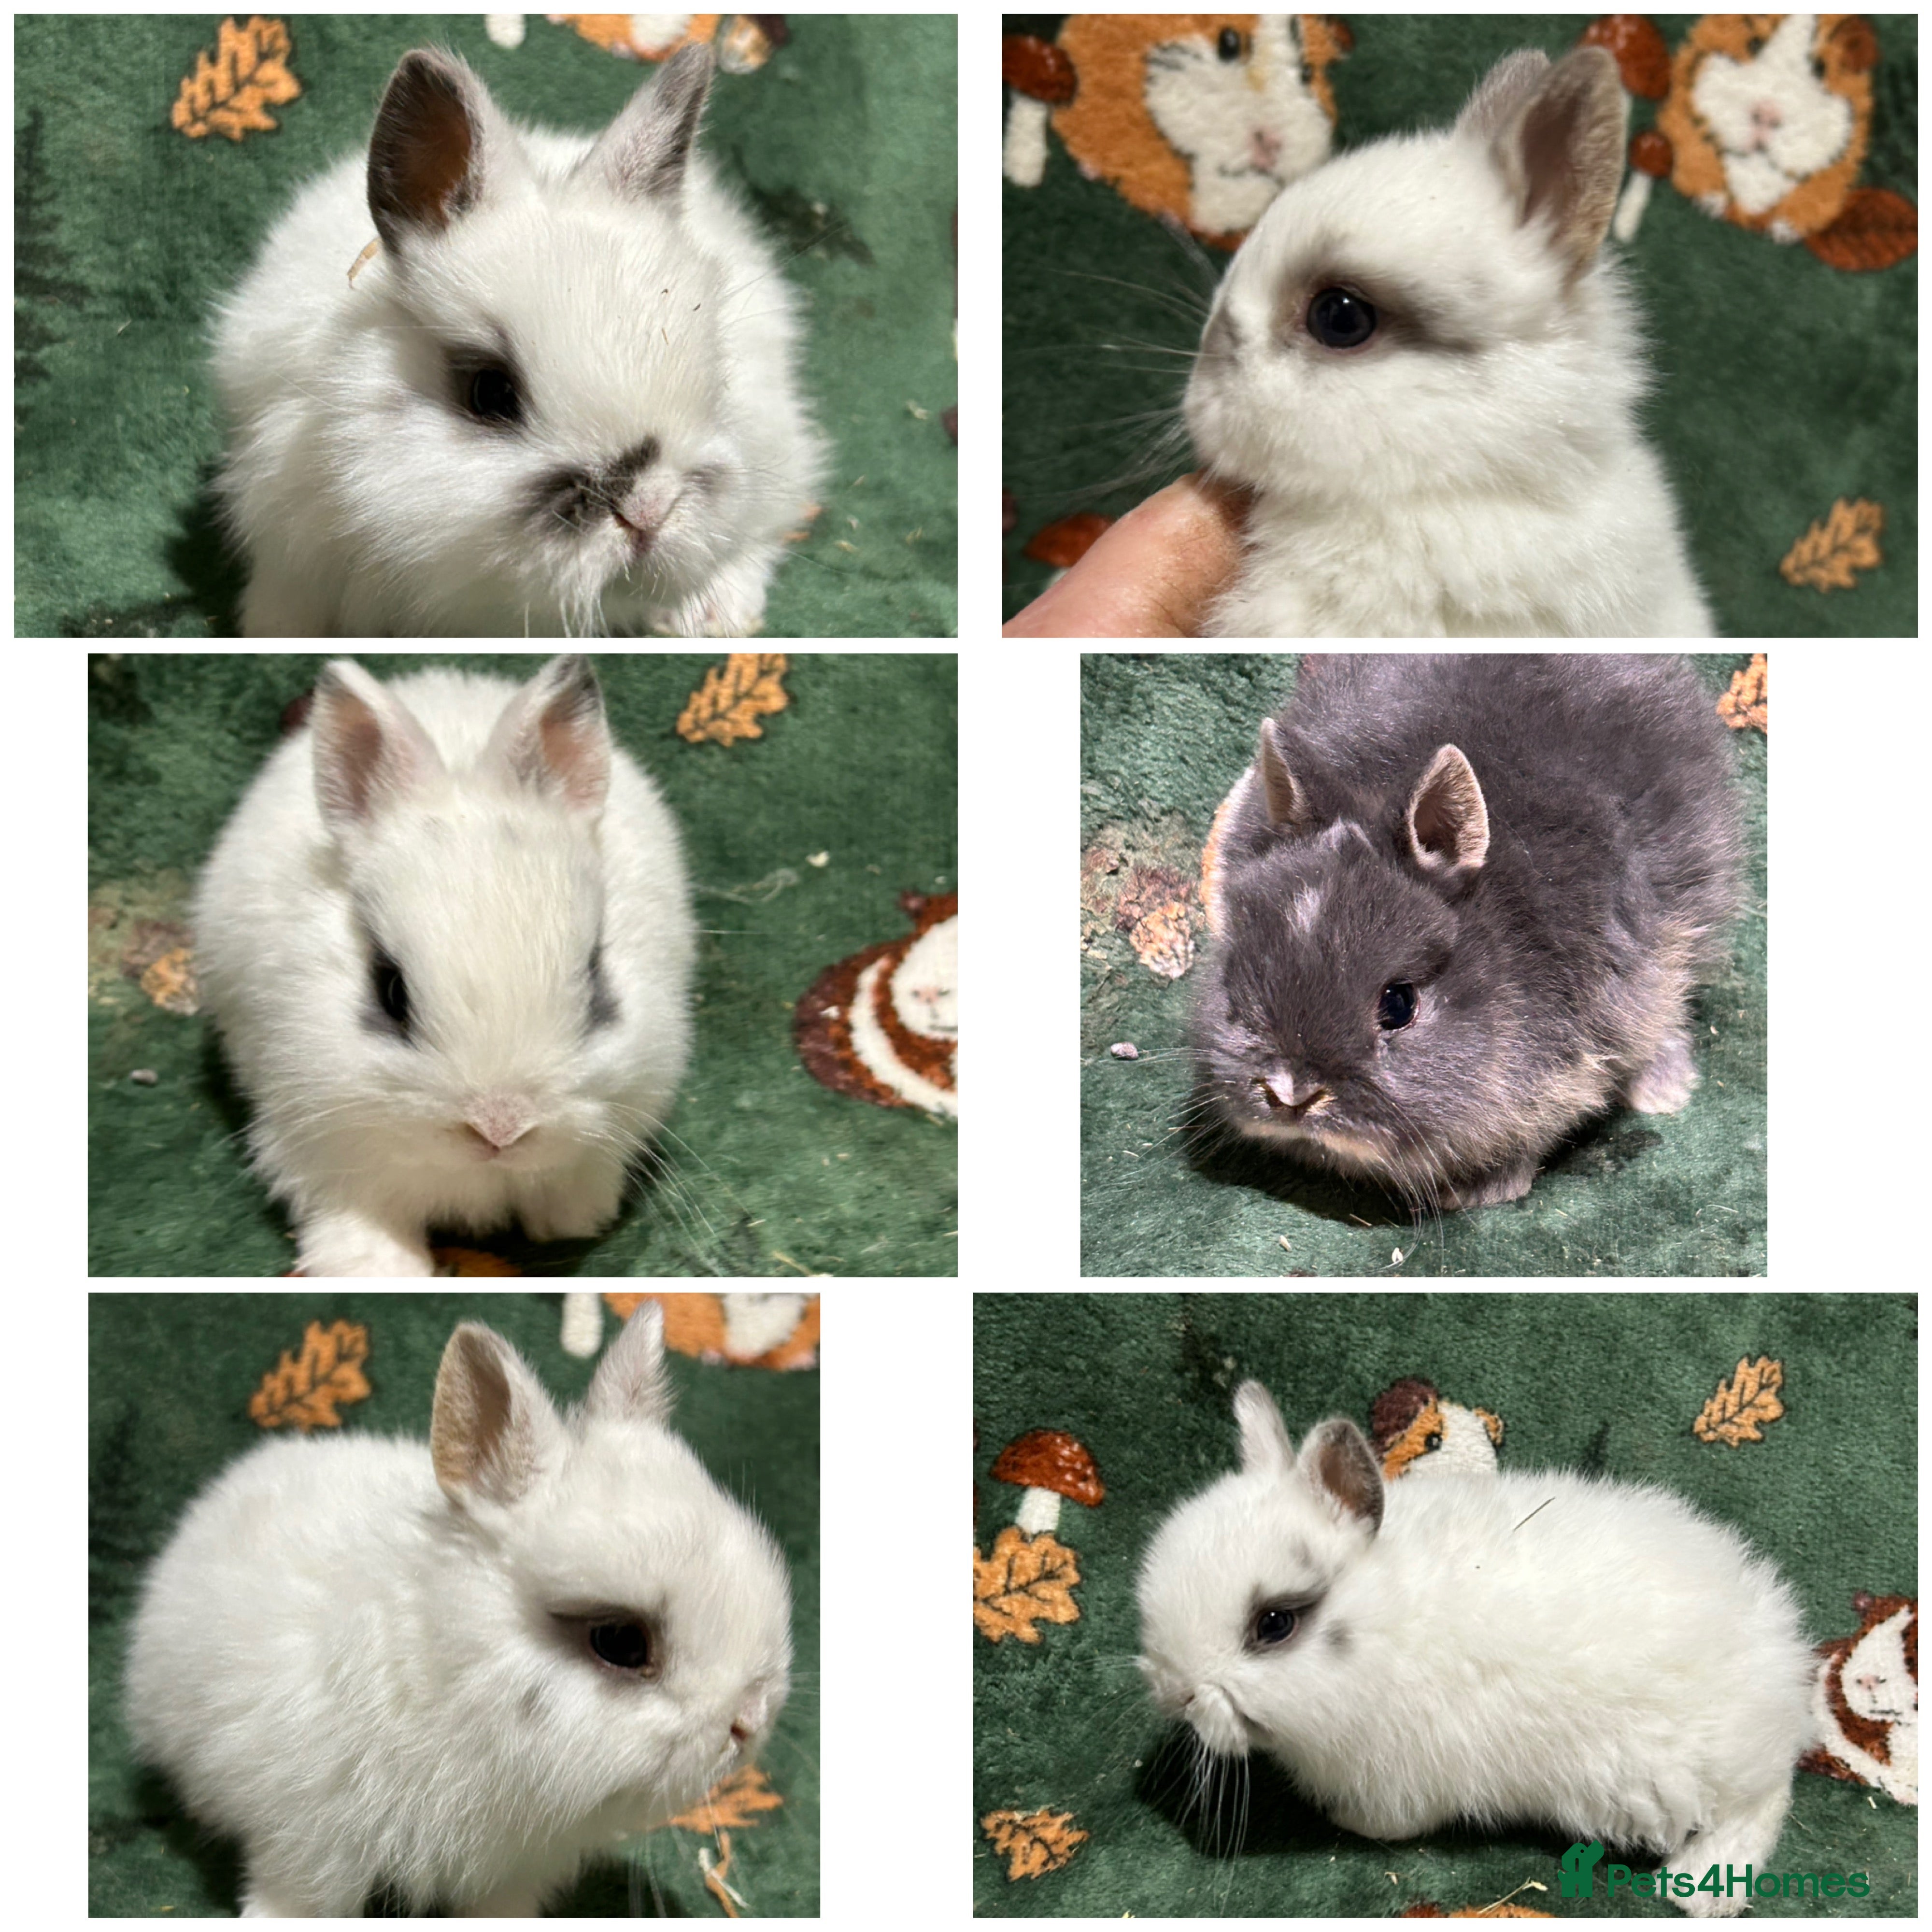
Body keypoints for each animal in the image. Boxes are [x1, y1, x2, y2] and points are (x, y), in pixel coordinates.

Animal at [124, 1301, 793, 1917]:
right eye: (621, 1642)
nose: (750, 1719)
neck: (451, 1673)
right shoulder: (309, 1835)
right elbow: (298, 1897)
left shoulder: (518, 1870)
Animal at [192, 653, 695, 1277]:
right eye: (390, 992)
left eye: (595, 977)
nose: (500, 1126)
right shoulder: (317, 1142)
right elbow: (357, 1213)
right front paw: (373, 1268)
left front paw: (572, 1223)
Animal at [1137, 1383, 1816, 1917]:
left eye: (1274, 1624)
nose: (1175, 1692)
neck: (1390, 1626)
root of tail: (1783, 1661)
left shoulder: (1402, 1780)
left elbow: (1391, 1823)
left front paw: (1341, 1823)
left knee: (1763, 1801)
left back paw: (1697, 1889)